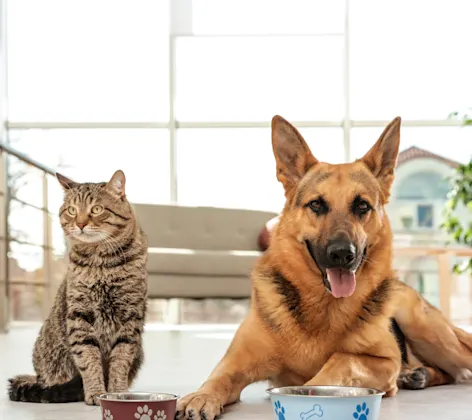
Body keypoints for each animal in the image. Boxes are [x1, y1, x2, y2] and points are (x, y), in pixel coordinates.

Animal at [7, 169, 148, 406]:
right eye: (72, 210)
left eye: (97, 209)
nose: (80, 224)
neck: (101, 262)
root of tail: (36, 377)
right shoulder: (79, 317)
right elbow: (88, 358)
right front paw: (95, 392)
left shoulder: (130, 319)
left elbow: (121, 360)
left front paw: (117, 392)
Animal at [174, 115, 472, 420]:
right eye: (316, 204)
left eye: (362, 205)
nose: (342, 254)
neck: (323, 306)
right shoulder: (235, 364)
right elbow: (216, 379)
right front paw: (200, 396)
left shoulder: (384, 360)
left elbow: (341, 360)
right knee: (447, 372)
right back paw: (416, 374)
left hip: (426, 330)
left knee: (458, 368)